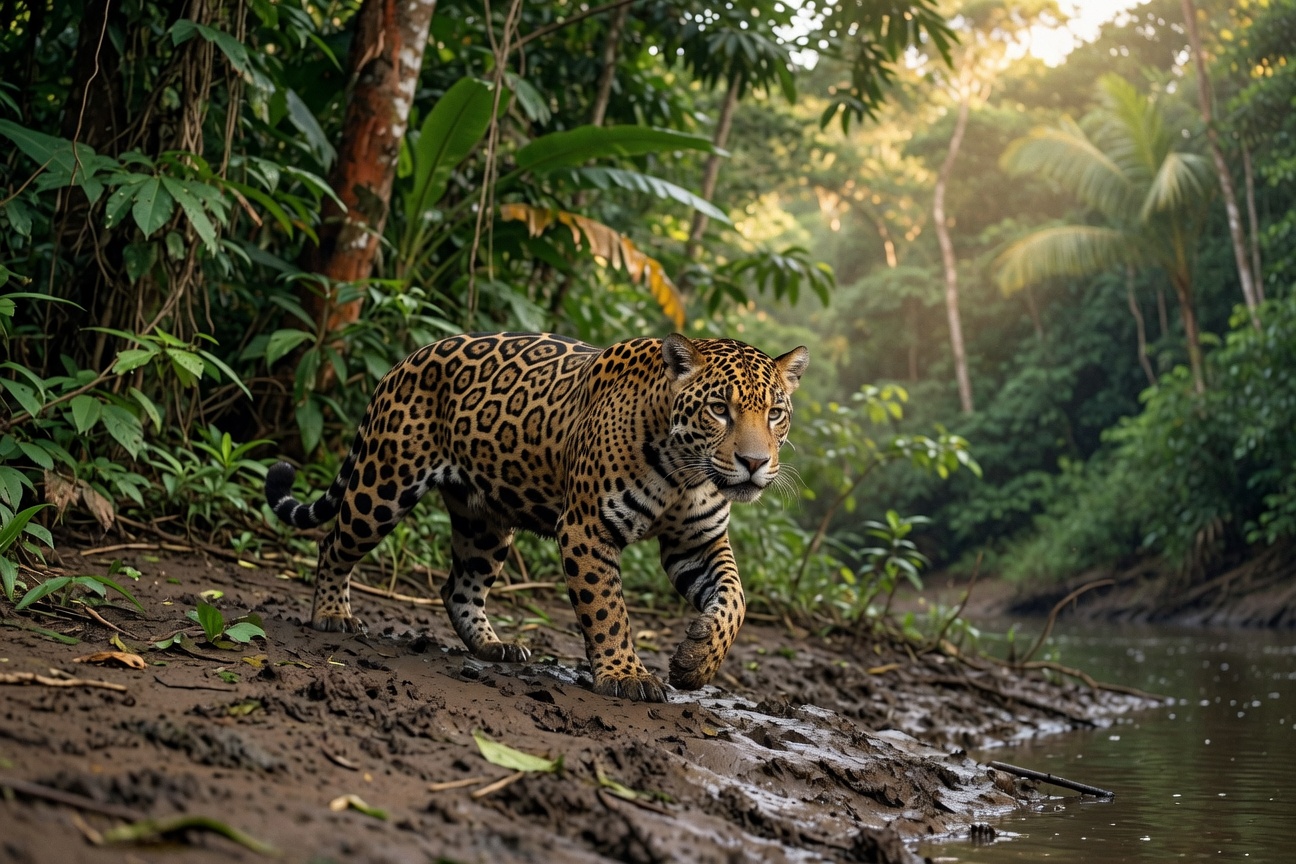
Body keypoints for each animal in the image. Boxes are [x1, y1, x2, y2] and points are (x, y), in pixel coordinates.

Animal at [265, 332, 808, 702]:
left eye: (775, 413)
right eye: (719, 409)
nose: (755, 463)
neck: (684, 474)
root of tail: (406, 359)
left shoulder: (696, 543)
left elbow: (735, 599)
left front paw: (696, 661)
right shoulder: (587, 529)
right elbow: (608, 610)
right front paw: (626, 674)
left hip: (483, 523)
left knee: (458, 587)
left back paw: (493, 647)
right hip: (383, 485)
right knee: (333, 544)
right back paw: (332, 614)